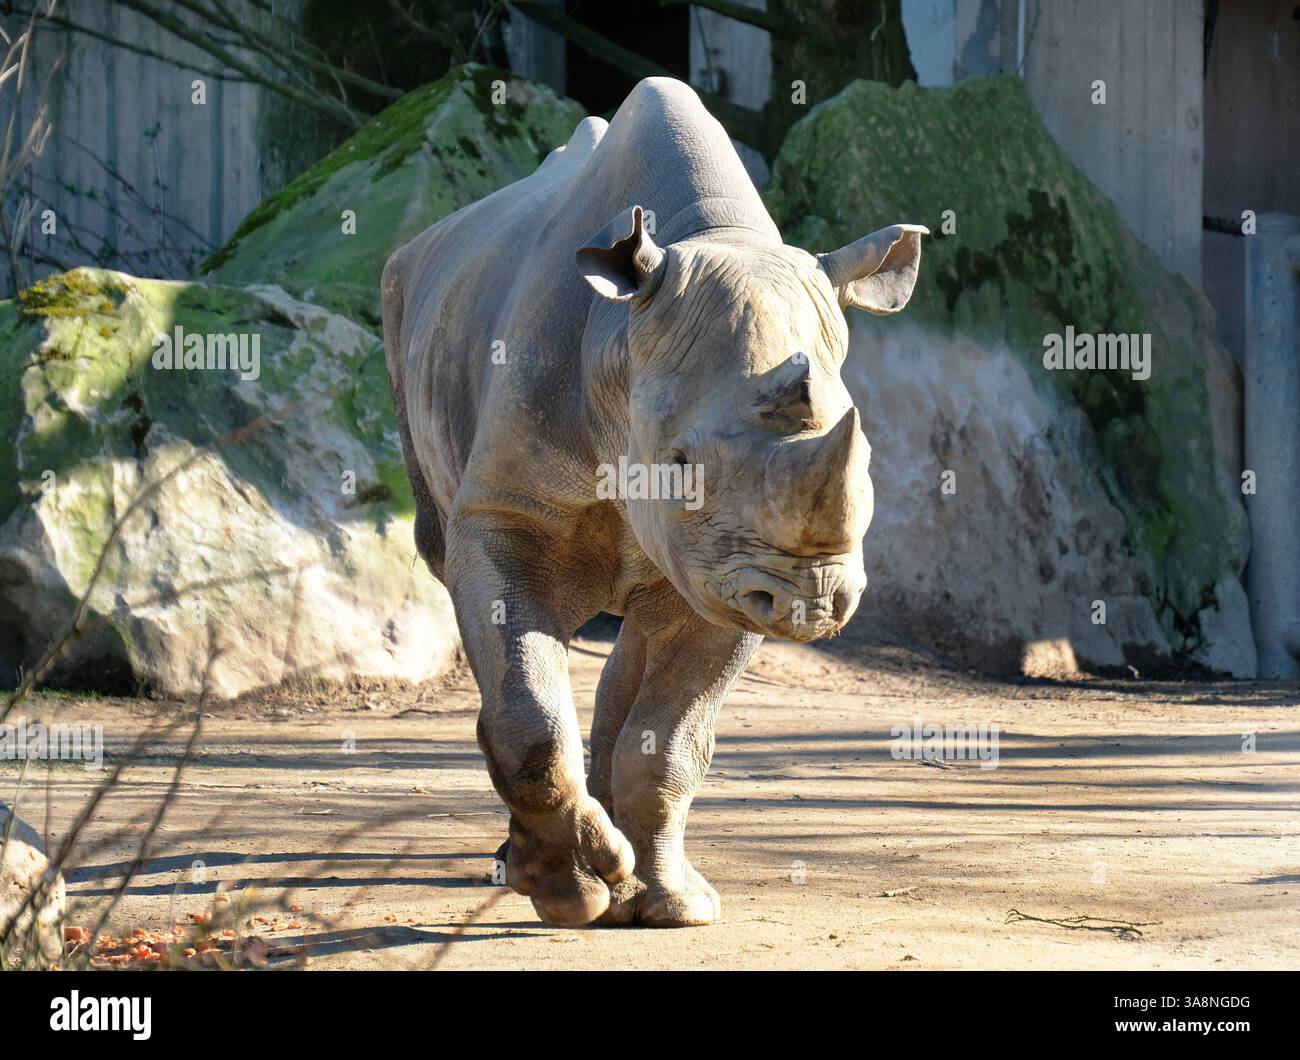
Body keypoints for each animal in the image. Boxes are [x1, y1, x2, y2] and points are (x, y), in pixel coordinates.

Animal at [383, 77, 925, 927]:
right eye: (682, 463)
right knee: (459, 583)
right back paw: (537, 866)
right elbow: (528, 710)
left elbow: (670, 741)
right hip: (401, 298)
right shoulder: (508, 514)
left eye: (869, 463)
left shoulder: (732, 567)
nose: (814, 601)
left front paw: (673, 907)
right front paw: (568, 895)